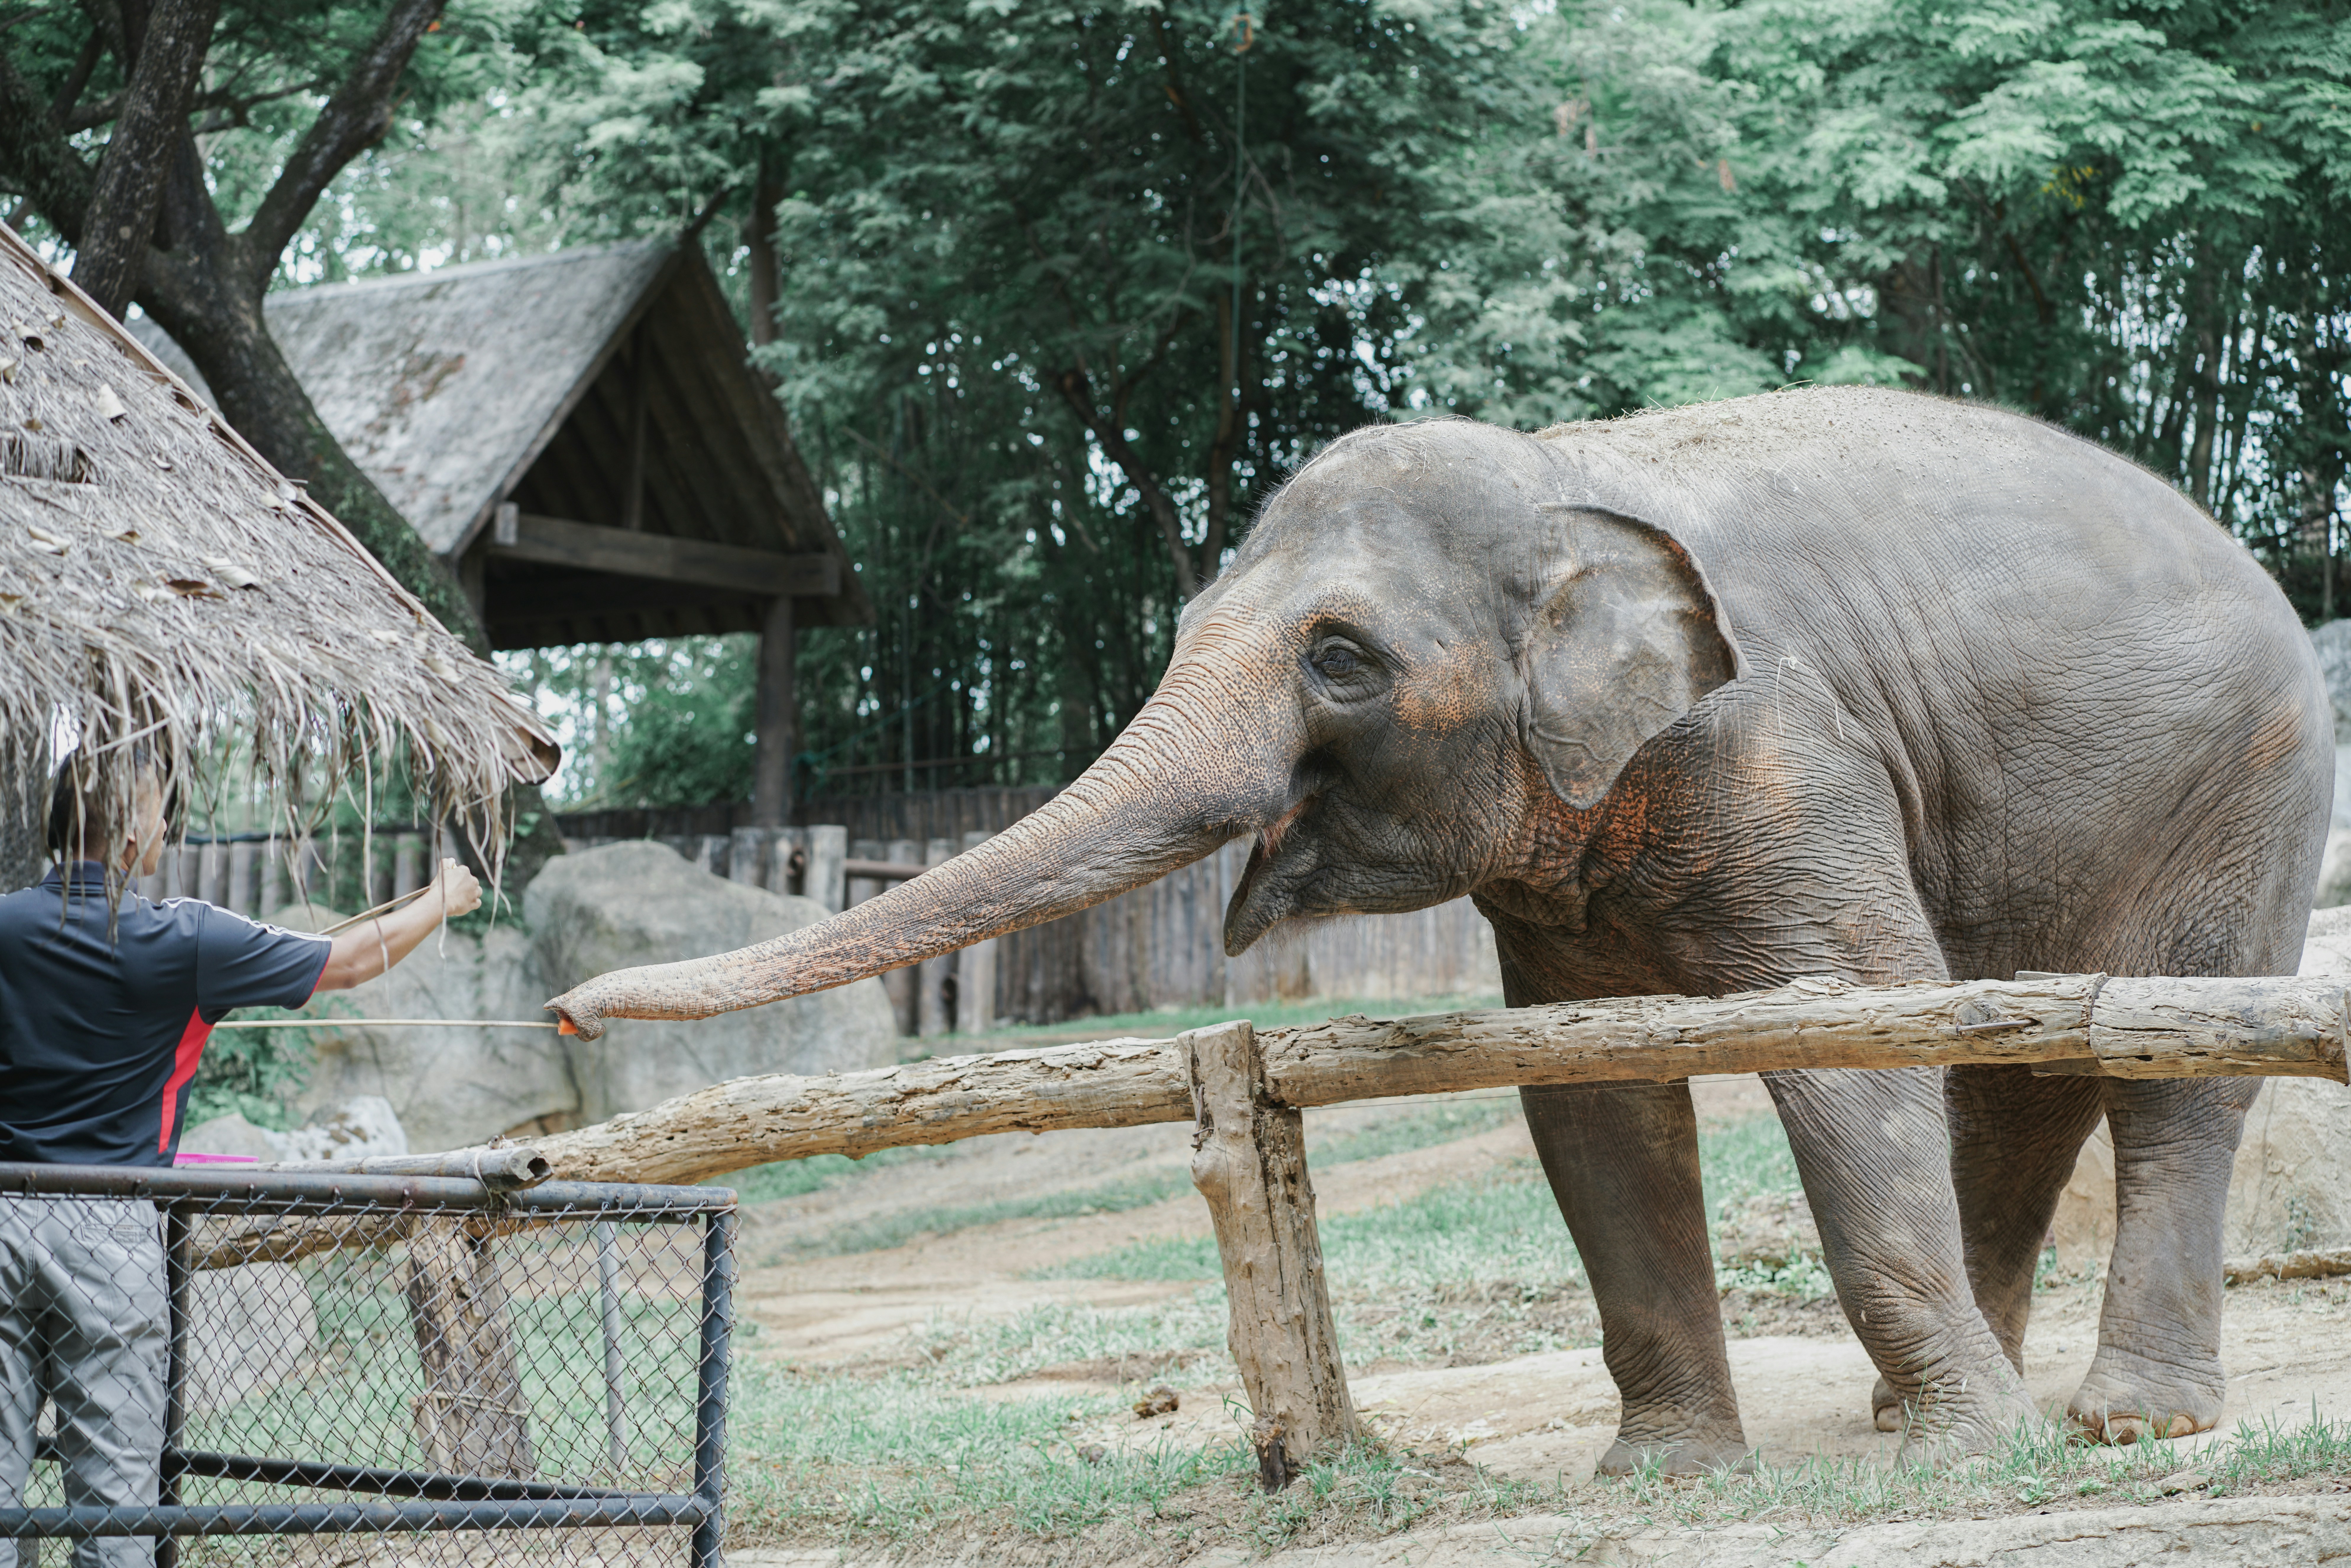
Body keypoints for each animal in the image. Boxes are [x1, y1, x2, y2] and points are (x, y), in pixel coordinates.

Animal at [549, 386, 2331, 1473]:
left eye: (1339, 658)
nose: (566, 1014)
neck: (1565, 480)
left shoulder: (1774, 742)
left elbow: (1840, 1020)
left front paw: (1977, 1457)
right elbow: (1590, 1101)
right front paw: (1667, 1475)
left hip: (2248, 798)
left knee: (2166, 1068)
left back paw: (2112, 1426)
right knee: (2017, 1078)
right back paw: (1922, 1412)